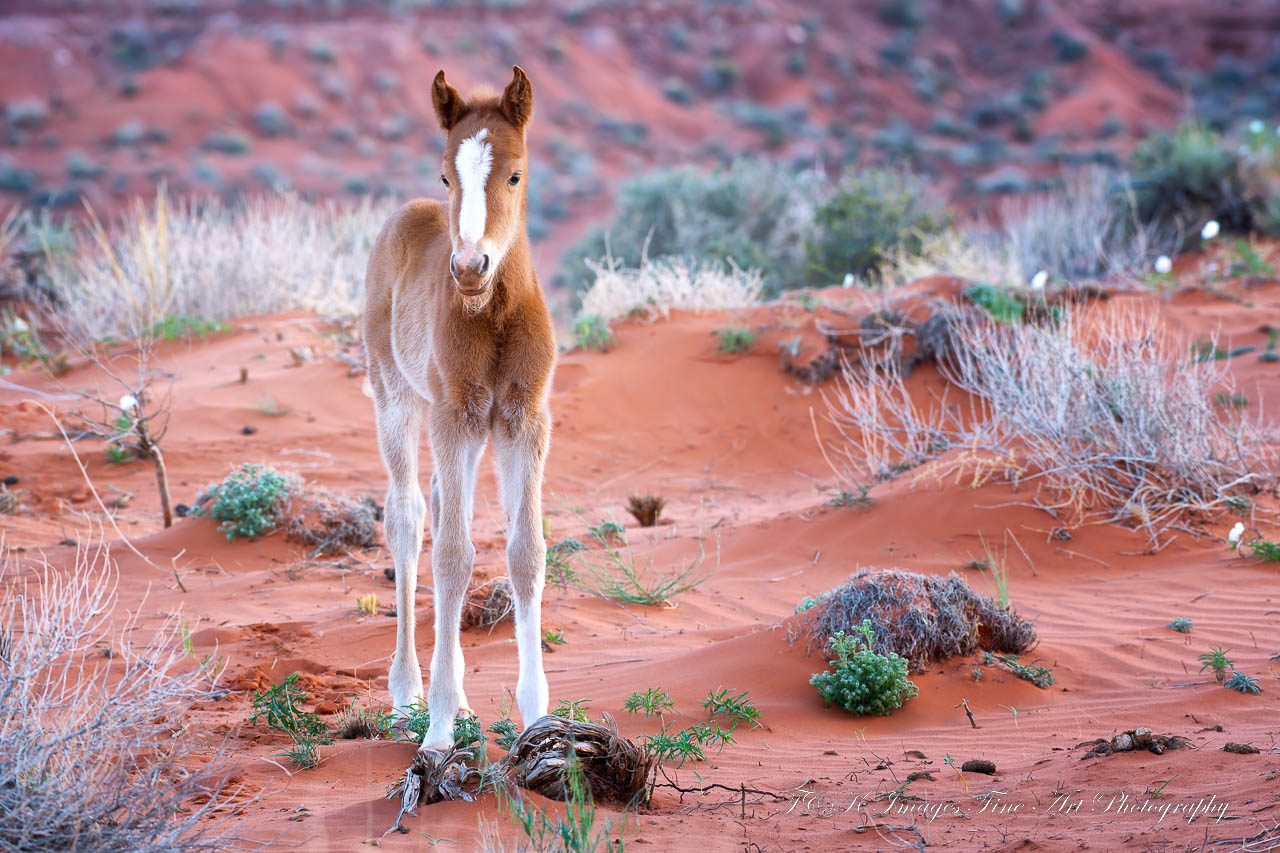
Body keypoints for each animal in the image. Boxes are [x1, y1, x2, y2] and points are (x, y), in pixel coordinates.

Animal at [366, 68, 555, 758]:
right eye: (447, 176)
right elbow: (452, 556)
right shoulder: (454, 418)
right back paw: (408, 696)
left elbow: (525, 553)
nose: (471, 267)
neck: (492, 315)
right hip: (399, 400)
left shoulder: (524, 421)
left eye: (515, 174)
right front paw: (440, 730)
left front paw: (539, 721)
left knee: (440, 504)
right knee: (408, 516)